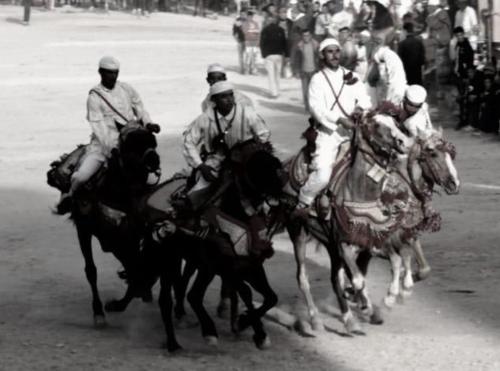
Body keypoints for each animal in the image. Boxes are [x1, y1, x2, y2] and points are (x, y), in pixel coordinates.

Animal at [46, 123, 160, 328]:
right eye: (130, 143)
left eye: (153, 141)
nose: (154, 160)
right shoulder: (85, 230)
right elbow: (91, 270)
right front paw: (99, 311)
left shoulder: (128, 239)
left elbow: (136, 270)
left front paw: (118, 303)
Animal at [143, 139, 288, 352]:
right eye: (260, 166)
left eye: (276, 163)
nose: (283, 190)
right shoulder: (223, 267)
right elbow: (242, 292)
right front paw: (241, 327)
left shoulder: (249, 266)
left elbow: (270, 297)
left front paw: (249, 327)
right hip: (170, 260)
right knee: (172, 298)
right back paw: (178, 341)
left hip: (194, 263)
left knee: (185, 288)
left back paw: (187, 320)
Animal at [276, 112, 412, 334]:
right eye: (375, 124)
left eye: (394, 122)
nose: (403, 141)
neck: (358, 190)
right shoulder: (344, 244)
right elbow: (357, 279)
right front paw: (367, 307)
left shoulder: (369, 240)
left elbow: (393, 262)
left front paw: (387, 300)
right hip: (298, 233)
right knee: (303, 278)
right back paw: (315, 320)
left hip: (330, 244)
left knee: (334, 278)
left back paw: (349, 319)